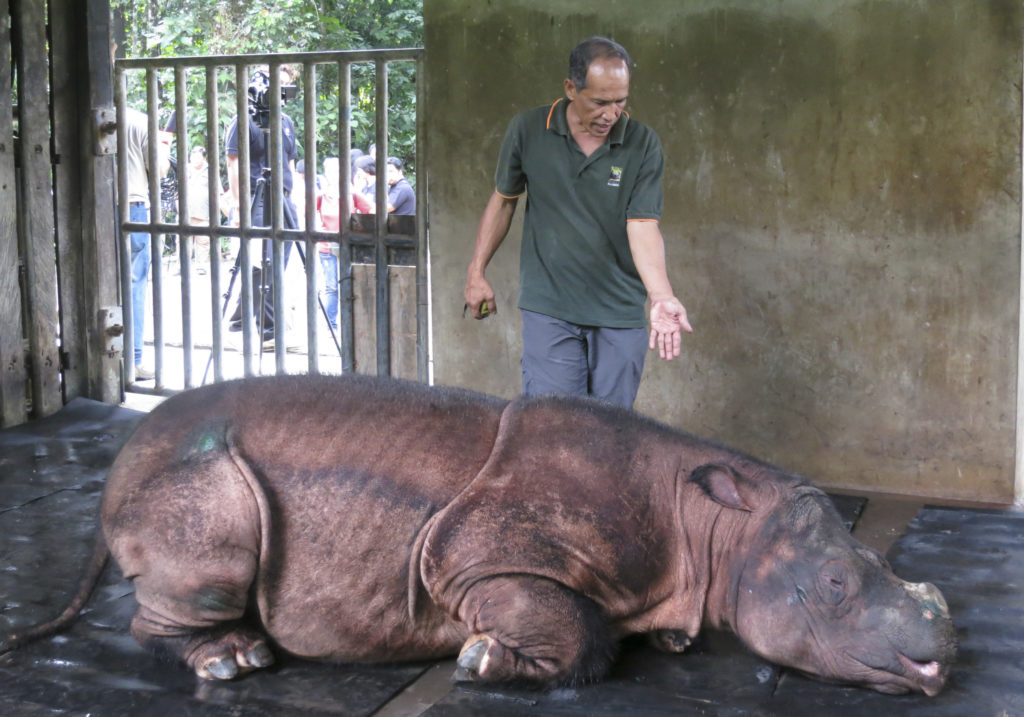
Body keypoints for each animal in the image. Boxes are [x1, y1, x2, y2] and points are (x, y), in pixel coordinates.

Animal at [2, 374, 956, 696]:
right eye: (834, 588)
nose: (946, 647)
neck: (711, 523)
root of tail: (117, 465)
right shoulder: (471, 553)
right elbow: (580, 632)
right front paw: (485, 661)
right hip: (199, 472)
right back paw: (232, 660)